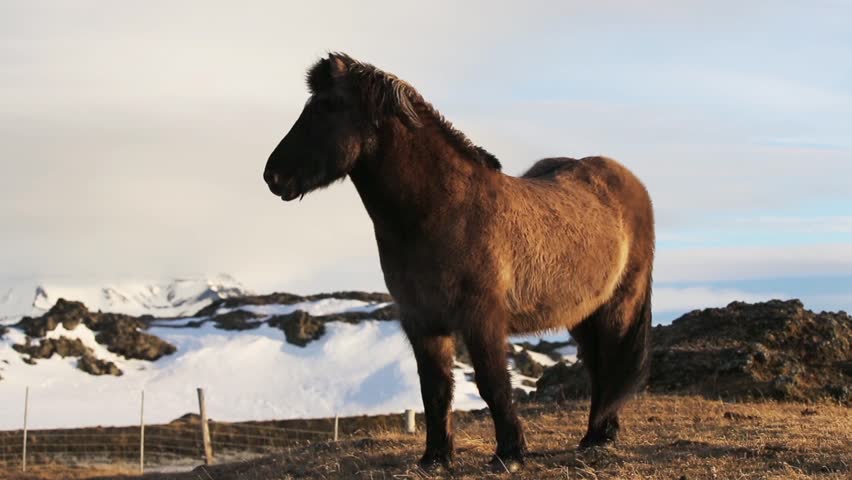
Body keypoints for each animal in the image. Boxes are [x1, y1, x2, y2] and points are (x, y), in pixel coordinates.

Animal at [263, 53, 655, 472]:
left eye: (326, 106)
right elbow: (434, 390)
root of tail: (626, 181)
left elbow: (492, 383)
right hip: (582, 312)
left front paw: (510, 454)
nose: (273, 175)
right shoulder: (421, 321)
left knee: (612, 362)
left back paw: (602, 437)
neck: (442, 211)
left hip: (619, 304)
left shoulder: (482, 318)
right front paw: (436, 458)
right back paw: (592, 436)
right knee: (598, 365)